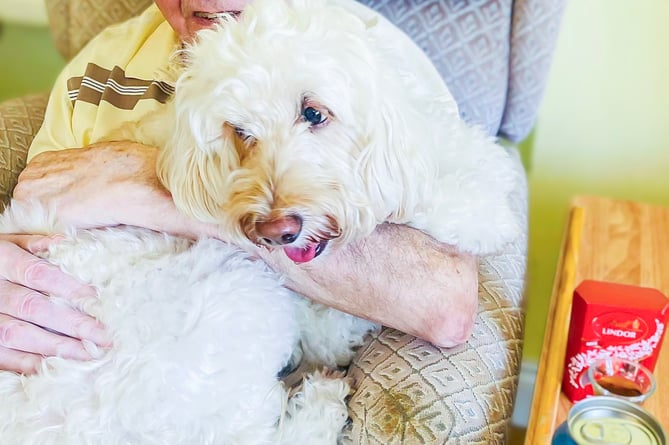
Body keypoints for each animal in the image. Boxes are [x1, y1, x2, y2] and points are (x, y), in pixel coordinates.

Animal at [0, 0, 520, 442]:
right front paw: (478, 208)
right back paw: (320, 403)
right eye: (240, 131)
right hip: (223, 303)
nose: (276, 230)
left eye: (314, 112)